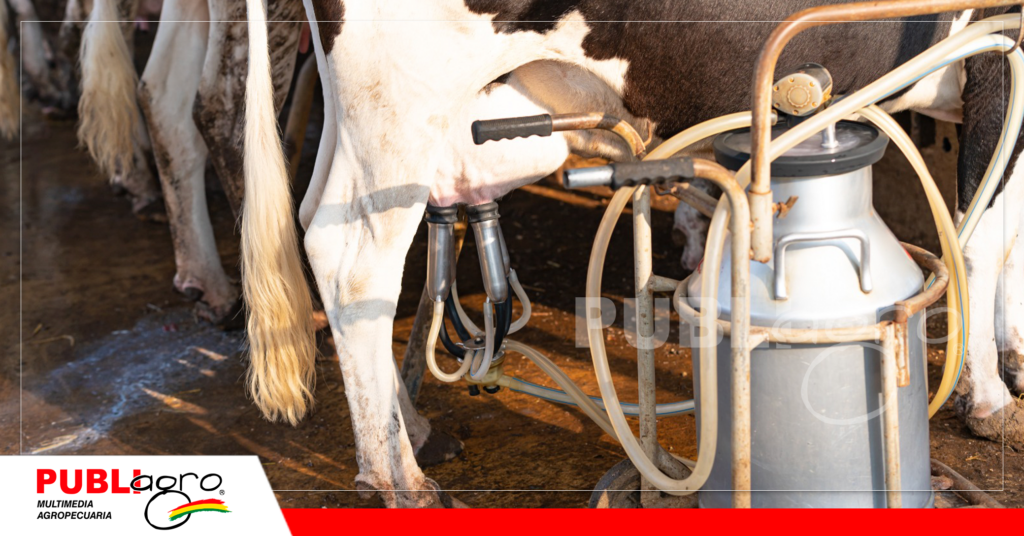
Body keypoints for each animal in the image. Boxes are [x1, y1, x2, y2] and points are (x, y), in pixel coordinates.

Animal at [240, 0, 1024, 506]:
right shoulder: (1002, 55)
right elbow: (987, 235)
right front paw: (989, 397)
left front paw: (1013, 353)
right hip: (399, 96)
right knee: (352, 261)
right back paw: (398, 480)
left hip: (372, 111)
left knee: (319, 223)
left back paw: (418, 430)